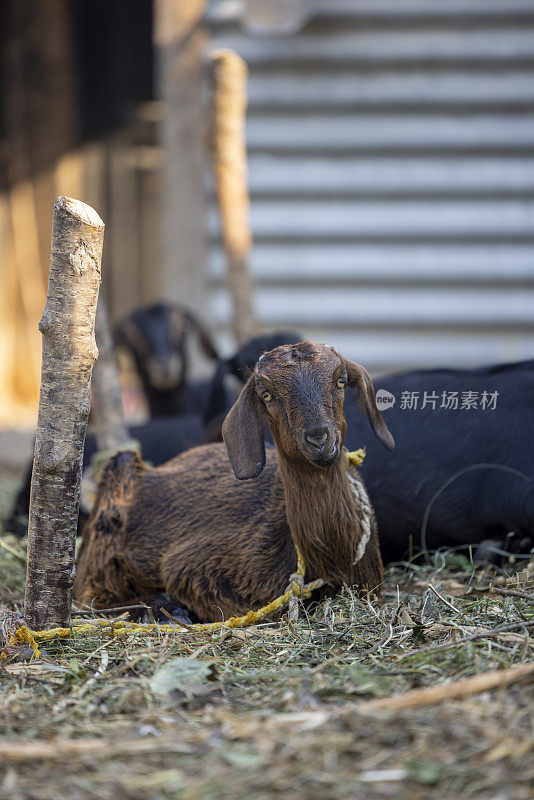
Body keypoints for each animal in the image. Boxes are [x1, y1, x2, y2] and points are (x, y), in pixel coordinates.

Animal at [74, 340, 394, 620]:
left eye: (341, 381)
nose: (318, 438)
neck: (330, 561)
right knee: (89, 596)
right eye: (267, 395)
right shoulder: (190, 567)